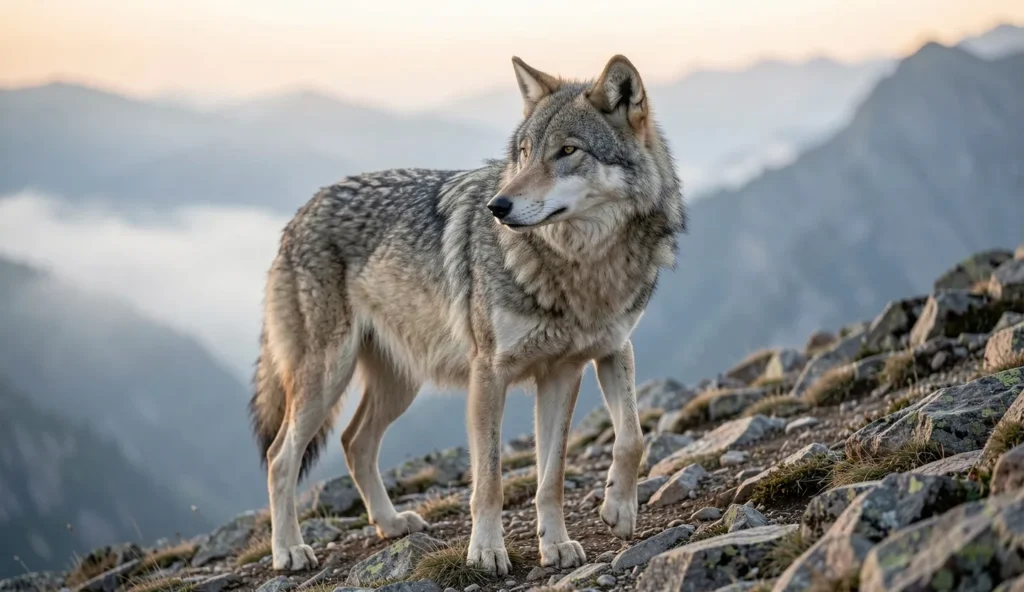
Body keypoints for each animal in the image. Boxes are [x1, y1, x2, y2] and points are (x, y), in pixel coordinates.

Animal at [249, 54, 685, 575]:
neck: (583, 267)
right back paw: (289, 550)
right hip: (326, 378)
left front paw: (588, 526)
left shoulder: (586, 361)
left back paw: (391, 524)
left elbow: (608, 449)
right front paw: (487, 552)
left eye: (567, 151)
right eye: (524, 152)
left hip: (400, 383)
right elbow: (490, 480)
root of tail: (300, 214)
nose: (498, 206)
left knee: (355, 443)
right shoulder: (489, 372)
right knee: (280, 457)